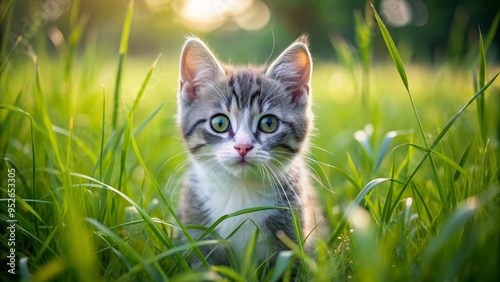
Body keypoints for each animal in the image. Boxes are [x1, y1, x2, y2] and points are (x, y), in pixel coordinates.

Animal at [176, 34, 318, 266]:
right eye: (220, 123)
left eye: (269, 123)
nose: (243, 147)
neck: (240, 190)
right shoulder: (195, 227)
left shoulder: (292, 231)